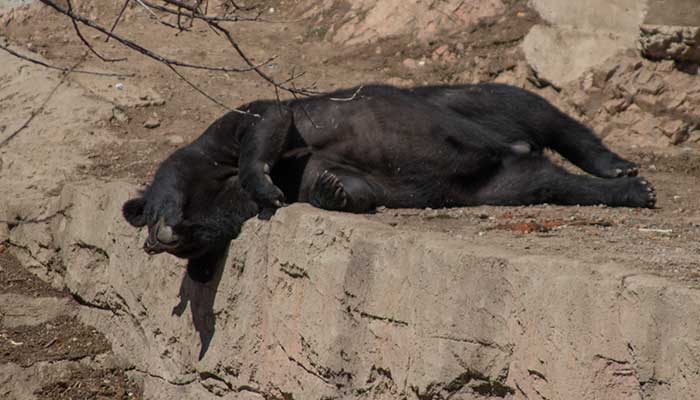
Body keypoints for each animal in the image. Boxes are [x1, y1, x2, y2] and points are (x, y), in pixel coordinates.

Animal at [121, 83, 656, 282]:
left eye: (155, 216)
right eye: (193, 243)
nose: (158, 238)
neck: (215, 184)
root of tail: (514, 147)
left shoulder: (223, 138)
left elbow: (267, 121)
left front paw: (264, 184)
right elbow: (348, 185)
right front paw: (334, 190)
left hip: (462, 101)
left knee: (541, 112)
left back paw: (619, 168)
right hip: (500, 182)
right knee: (548, 183)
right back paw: (627, 190)